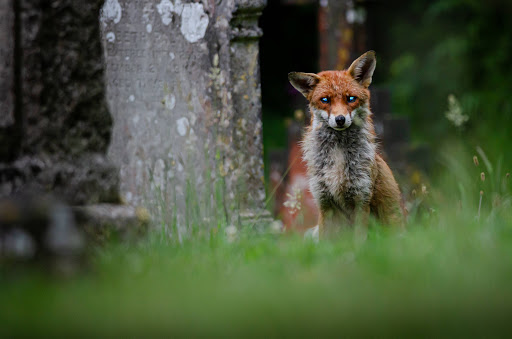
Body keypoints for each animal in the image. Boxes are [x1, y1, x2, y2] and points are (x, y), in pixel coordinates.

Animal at [290, 50, 406, 236]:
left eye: (351, 98)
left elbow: (359, 239)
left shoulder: (361, 200)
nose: (340, 119)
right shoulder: (324, 202)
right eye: (325, 100)